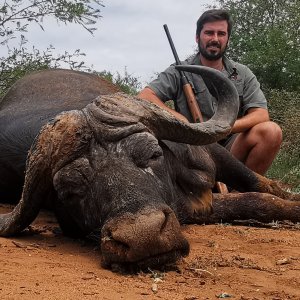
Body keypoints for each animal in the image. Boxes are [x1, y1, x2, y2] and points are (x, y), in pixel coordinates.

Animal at [0, 66, 300, 270]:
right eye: (69, 190)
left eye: (153, 153)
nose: (143, 237)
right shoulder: (193, 210)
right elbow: (255, 201)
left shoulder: (213, 154)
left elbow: (261, 191)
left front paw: (291, 202)